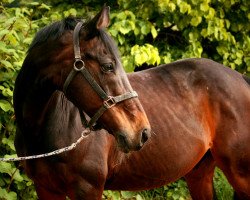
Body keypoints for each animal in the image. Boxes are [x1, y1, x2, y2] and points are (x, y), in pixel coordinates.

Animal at [13, 5, 250, 199]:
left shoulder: (88, 189)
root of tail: (241, 79)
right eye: (108, 66)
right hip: (199, 173)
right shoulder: (46, 189)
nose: (142, 132)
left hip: (241, 175)